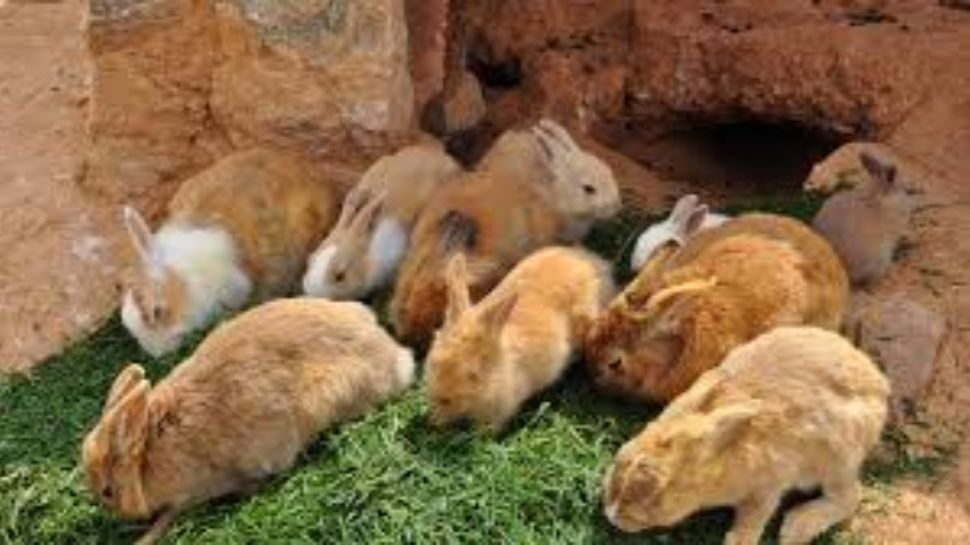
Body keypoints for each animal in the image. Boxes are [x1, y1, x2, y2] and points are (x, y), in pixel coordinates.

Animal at [82, 298, 415, 545]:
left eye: (108, 491)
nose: (111, 513)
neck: (150, 451)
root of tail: (396, 355)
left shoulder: (193, 492)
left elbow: (171, 515)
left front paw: (146, 537)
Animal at [602, 326, 889, 545]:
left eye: (656, 495)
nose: (612, 516)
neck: (718, 463)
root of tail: (879, 385)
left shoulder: (768, 486)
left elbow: (753, 519)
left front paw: (741, 539)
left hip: (835, 457)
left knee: (850, 496)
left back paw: (796, 528)